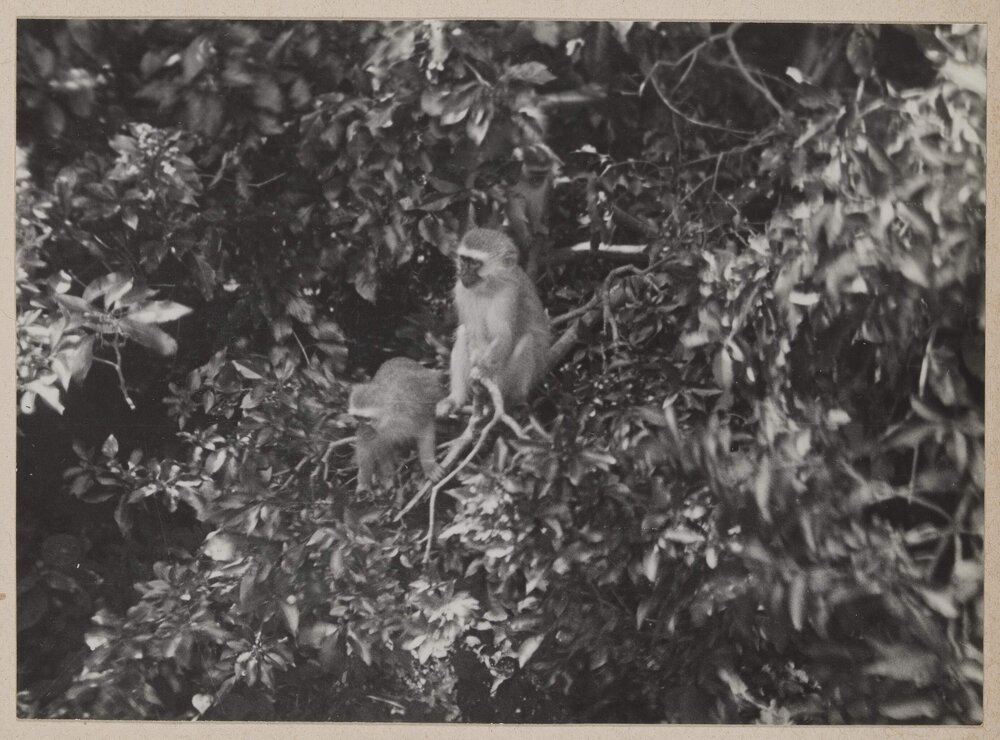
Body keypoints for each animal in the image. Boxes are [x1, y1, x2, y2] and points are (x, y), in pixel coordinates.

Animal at [348, 357, 445, 494]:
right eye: (357, 417)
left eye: (367, 419)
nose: (362, 426)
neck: (389, 419)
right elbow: (366, 446)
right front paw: (364, 480)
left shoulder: (410, 414)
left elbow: (425, 429)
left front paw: (429, 465)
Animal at [435, 228, 551, 418]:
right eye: (464, 260)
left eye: (475, 263)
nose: (463, 273)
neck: (488, 287)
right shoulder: (462, 290)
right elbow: (474, 333)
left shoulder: (508, 293)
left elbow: (503, 336)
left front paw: (481, 370)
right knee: (463, 332)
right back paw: (456, 399)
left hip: (503, 381)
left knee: (527, 341)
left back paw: (514, 400)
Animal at [505, 143, 559, 281]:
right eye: (534, 172)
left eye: (543, 173)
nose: (538, 181)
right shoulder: (513, 177)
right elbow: (515, 205)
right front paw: (525, 234)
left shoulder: (545, 183)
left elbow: (537, 205)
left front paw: (537, 225)